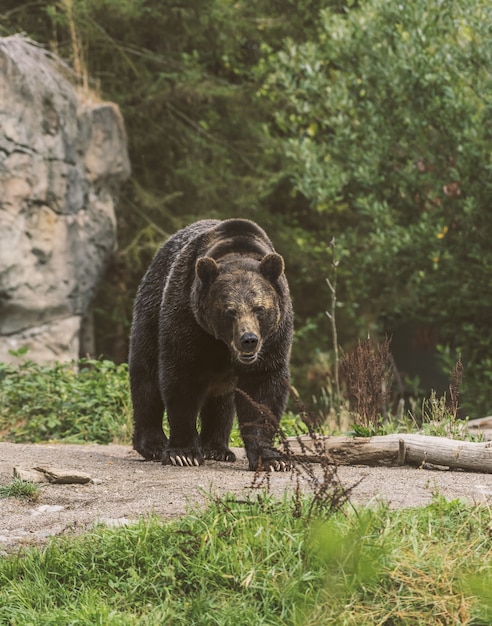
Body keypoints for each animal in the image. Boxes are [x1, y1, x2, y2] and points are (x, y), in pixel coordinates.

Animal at [129, 218, 294, 468]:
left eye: (259, 308)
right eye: (229, 311)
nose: (249, 340)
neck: (221, 344)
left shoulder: (274, 339)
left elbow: (262, 390)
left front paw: (271, 458)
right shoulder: (187, 318)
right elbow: (181, 379)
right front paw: (183, 453)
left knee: (221, 401)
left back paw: (217, 449)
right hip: (151, 309)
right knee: (145, 376)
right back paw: (153, 444)